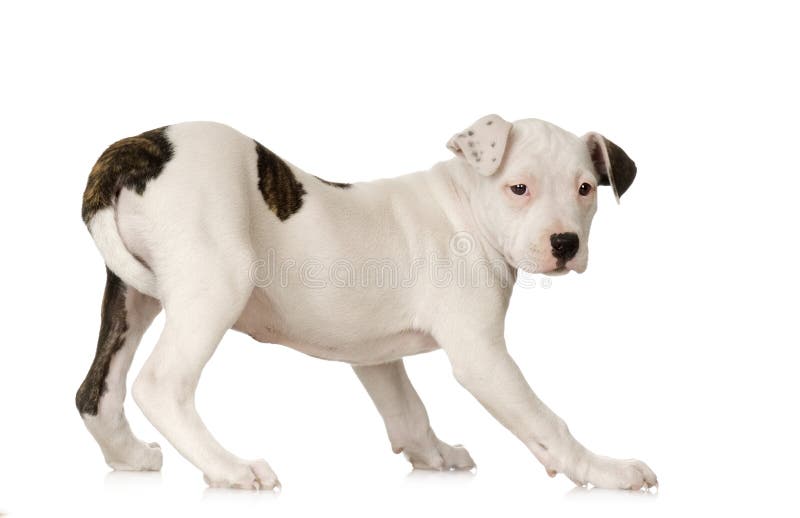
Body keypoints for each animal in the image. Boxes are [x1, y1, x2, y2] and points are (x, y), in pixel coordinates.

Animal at [76, 114, 656, 492]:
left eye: (586, 189)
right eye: (519, 188)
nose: (566, 244)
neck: (465, 207)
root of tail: (133, 147)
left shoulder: (372, 351)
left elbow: (407, 409)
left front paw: (433, 455)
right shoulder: (482, 357)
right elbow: (546, 422)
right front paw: (607, 471)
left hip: (132, 293)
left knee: (95, 391)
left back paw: (128, 456)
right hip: (216, 281)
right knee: (160, 384)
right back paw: (230, 468)